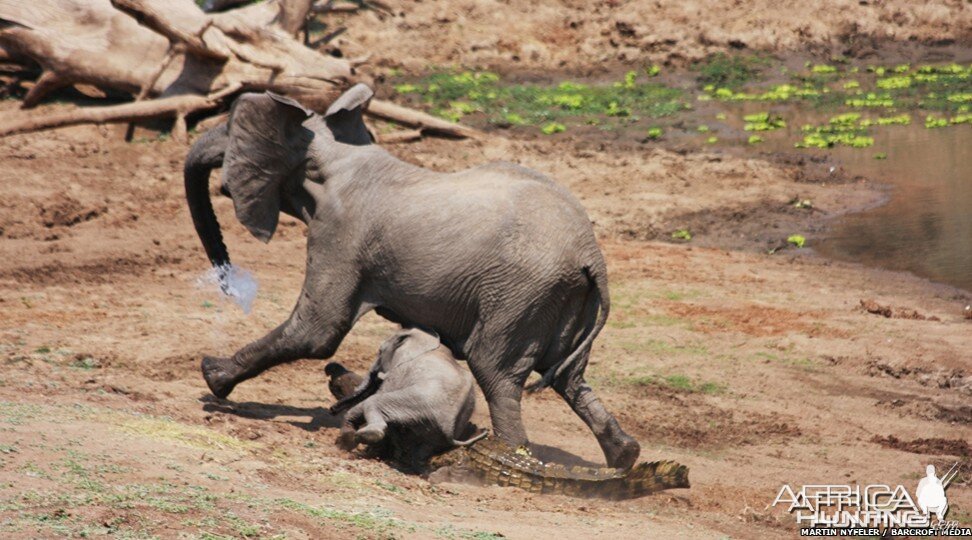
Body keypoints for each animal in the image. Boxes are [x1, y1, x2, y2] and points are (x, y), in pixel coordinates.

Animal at [330, 330, 482, 468]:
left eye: (380, 351)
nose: (332, 410)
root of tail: (448, 427)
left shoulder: (399, 371)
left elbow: (375, 396)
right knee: (424, 448)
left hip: (419, 404)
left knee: (374, 402)